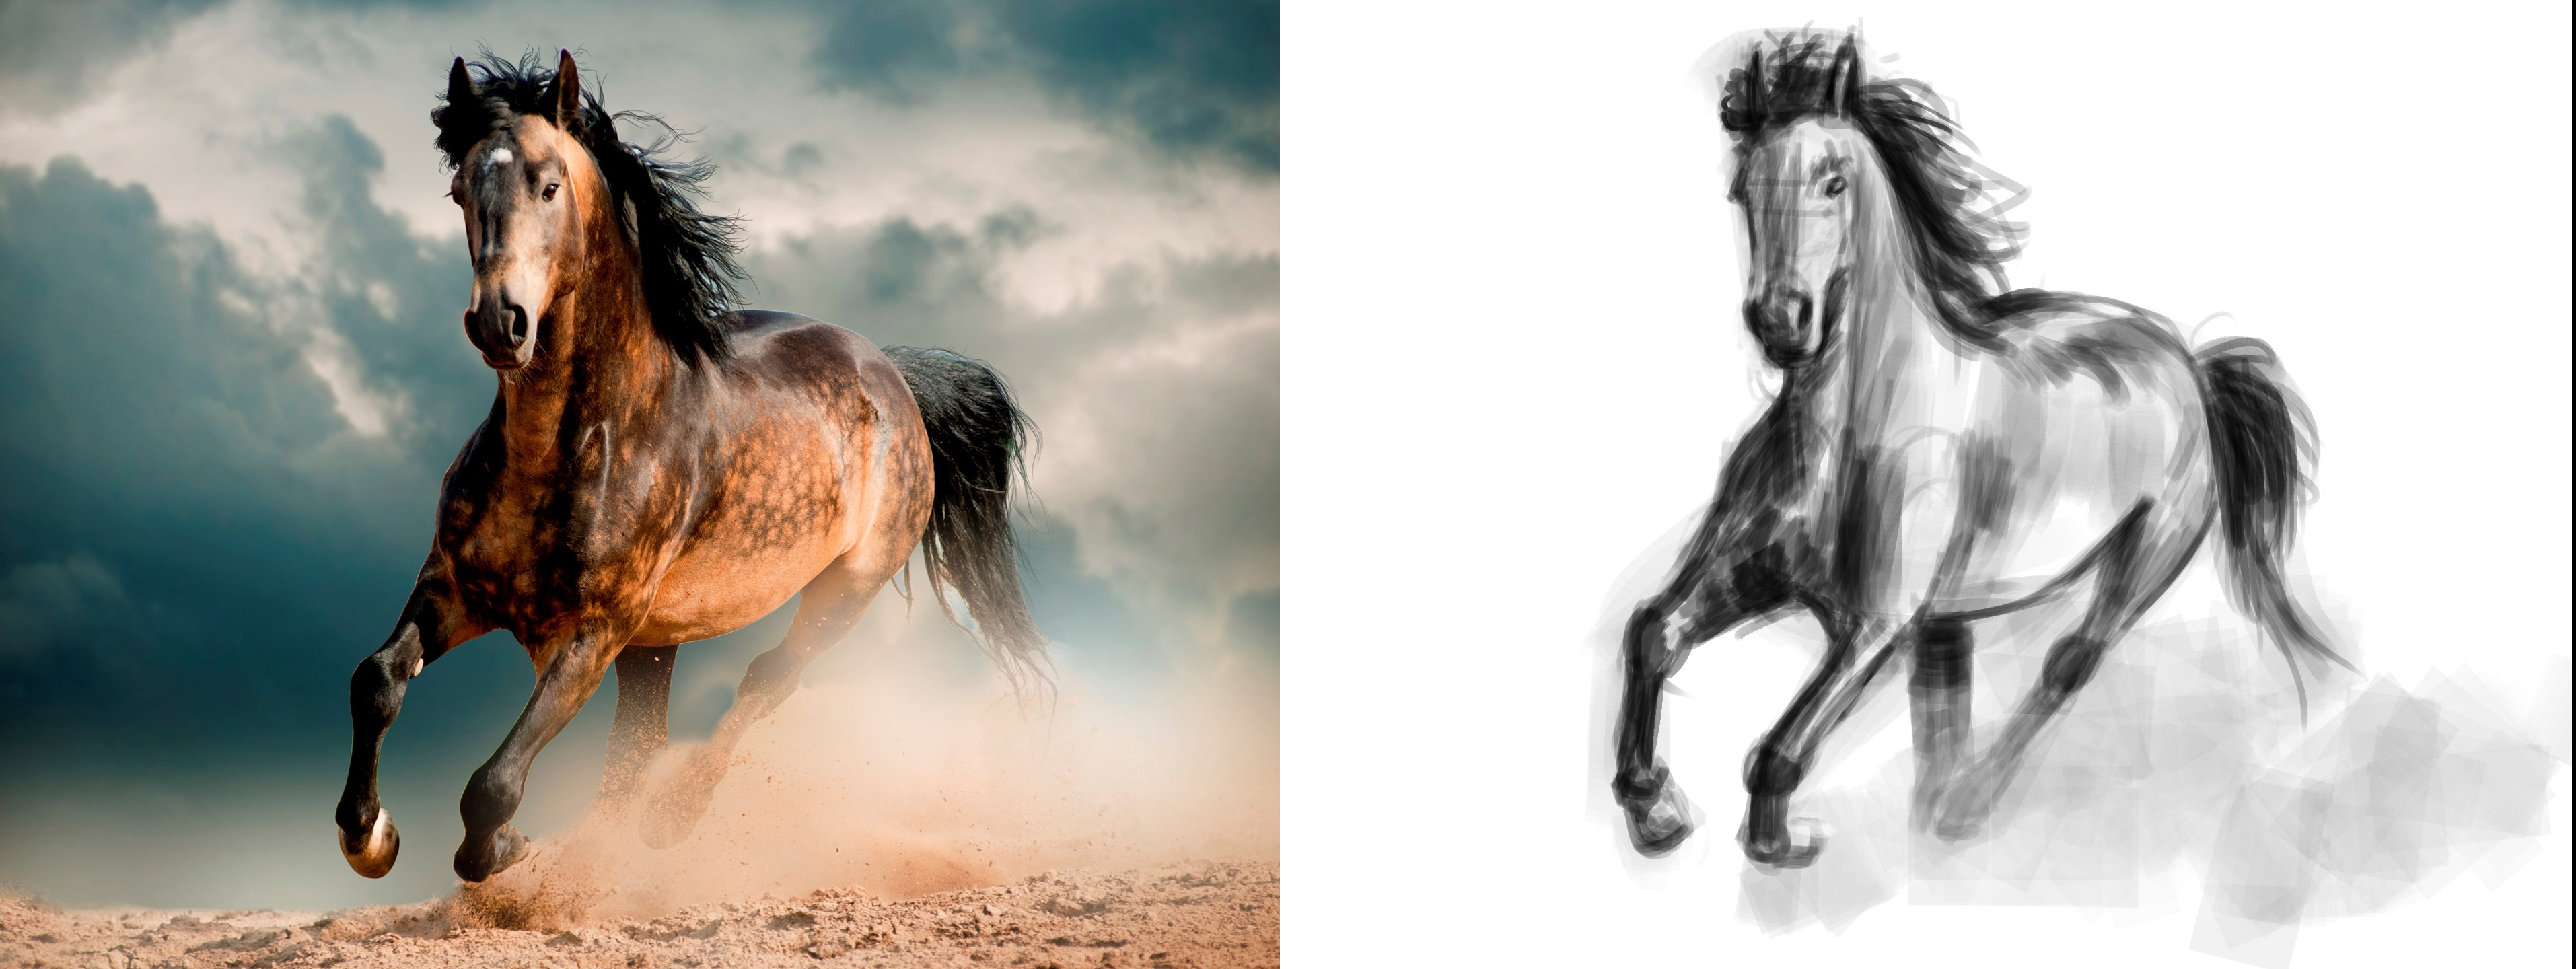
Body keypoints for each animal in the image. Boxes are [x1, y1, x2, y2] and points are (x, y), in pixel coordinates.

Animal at [333, 50, 1048, 883]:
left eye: (549, 185)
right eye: (459, 191)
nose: (499, 323)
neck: (571, 446)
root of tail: (893, 374)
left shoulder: (592, 633)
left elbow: (494, 784)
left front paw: (502, 849)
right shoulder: (454, 589)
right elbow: (377, 680)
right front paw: (370, 837)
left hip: (843, 592)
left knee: (765, 680)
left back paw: (670, 821)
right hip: (657, 643)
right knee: (636, 748)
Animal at [1609, 30, 2351, 868]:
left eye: (1834, 182)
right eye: (1742, 190)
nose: (1780, 323)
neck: (1845, 438)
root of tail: (2191, 362)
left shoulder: (1875, 624)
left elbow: (1779, 748)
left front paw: (1777, 841)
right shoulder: (1757, 577)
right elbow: (1652, 633)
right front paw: (1654, 811)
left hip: (2145, 559)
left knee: (2069, 663)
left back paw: (1964, 809)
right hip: (1952, 617)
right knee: (1945, 705)